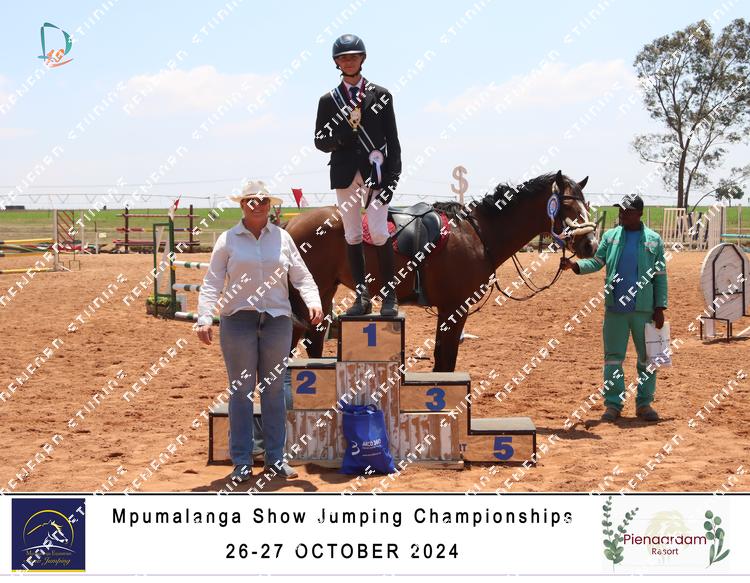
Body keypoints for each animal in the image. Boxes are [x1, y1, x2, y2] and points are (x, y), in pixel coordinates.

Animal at [285, 171, 598, 372]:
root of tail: (291, 224)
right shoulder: (454, 308)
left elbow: (442, 358)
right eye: (567, 204)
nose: (590, 243)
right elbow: (446, 360)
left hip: (323, 293)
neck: (478, 233)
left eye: (587, 204)